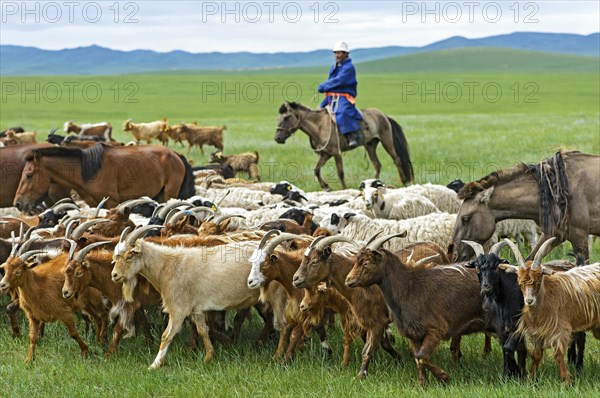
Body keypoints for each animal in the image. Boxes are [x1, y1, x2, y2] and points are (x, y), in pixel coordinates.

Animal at [13, 144, 195, 215]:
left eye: (29, 175)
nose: (18, 203)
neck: (89, 171)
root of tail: (176, 155)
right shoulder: (93, 204)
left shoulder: (111, 202)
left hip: (169, 194)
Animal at [276, 102, 412, 190]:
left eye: (286, 117)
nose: (277, 138)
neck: (319, 126)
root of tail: (384, 116)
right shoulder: (325, 154)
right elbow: (316, 169)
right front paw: (326, 187)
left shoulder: (336, 153)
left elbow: (340, 172)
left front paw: (344, 188)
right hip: (370, 145)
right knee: (377, 164)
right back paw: (375, 183)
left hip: (387, 142)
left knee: (397, 160)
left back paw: (404, 181)